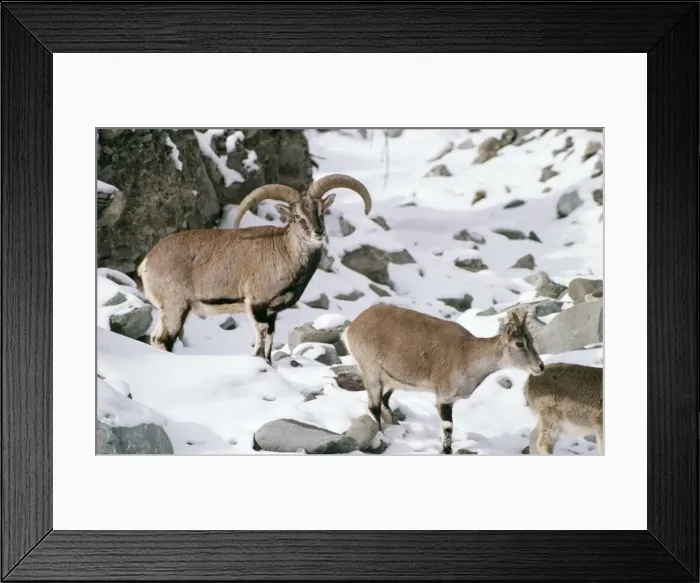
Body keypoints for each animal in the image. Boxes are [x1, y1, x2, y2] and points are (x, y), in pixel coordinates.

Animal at [137, 174, 372, 364]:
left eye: (321, 211)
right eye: (297, 216)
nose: (319, 233)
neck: (283, 251)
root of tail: (147, 262)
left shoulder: (272, 311)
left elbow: (270, 337)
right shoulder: (256, 303)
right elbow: (261, 335)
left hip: (168, 310)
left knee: (155, 337)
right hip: (176, 307)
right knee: (165, 339)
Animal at [343, 304, 545, 454]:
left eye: (532, 341)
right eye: (519, 344)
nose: (540, 366)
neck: (468, 355)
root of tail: (352, 326)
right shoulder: (444, 397)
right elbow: (448, 428)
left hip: (390, 379)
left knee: (385, 401)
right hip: (371, 371)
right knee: (374, 406)